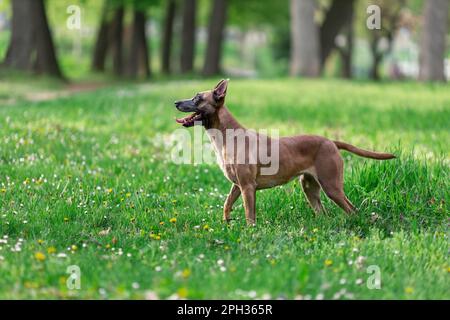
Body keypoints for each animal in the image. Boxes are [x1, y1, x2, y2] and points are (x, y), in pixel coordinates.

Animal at [174, 79, 396, 225]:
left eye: (197, 98)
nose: (175, 102)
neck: (227, 136)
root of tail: (330, 142)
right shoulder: (237, 186)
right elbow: (226, 205)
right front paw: (227, 223)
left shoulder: (247, 187)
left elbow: (249, 215)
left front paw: (249, 233)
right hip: (310, 188)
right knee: (324, 213)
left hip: (331, 186)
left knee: (352, 210)